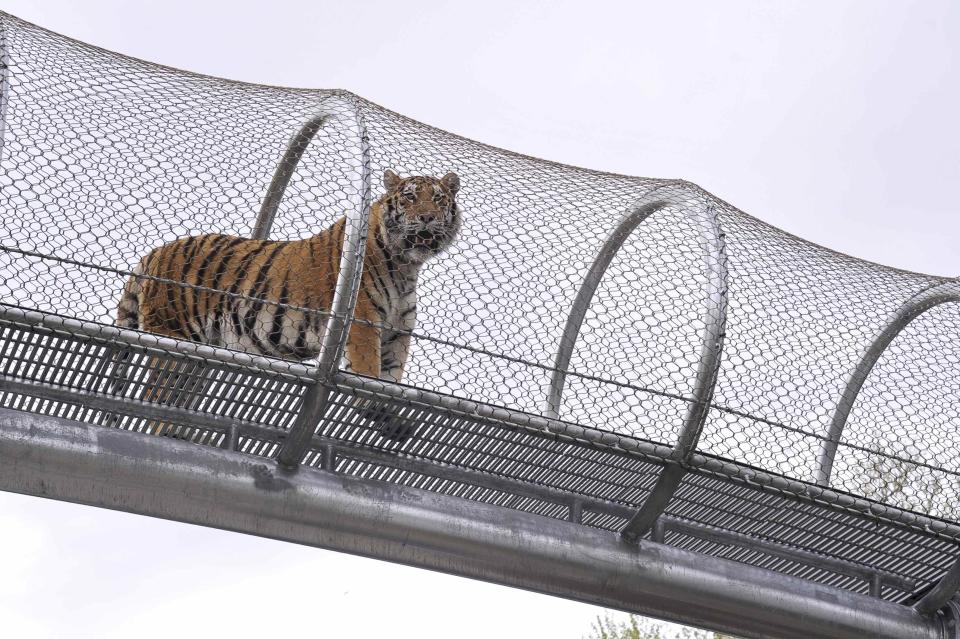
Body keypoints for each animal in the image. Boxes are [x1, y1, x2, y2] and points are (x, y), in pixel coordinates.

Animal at [114, 170, 464, 440]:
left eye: (438, 199)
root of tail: (154, 252)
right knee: (156, 394)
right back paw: (174, 434)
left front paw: (391, 420)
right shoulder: (362, 324)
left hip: (199, 355)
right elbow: (369, 374)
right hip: (175, 340)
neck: (406, 266)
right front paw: (373, 407)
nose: (427, 218)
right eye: (410, 197)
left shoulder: (396, 334)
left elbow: (390, 380)